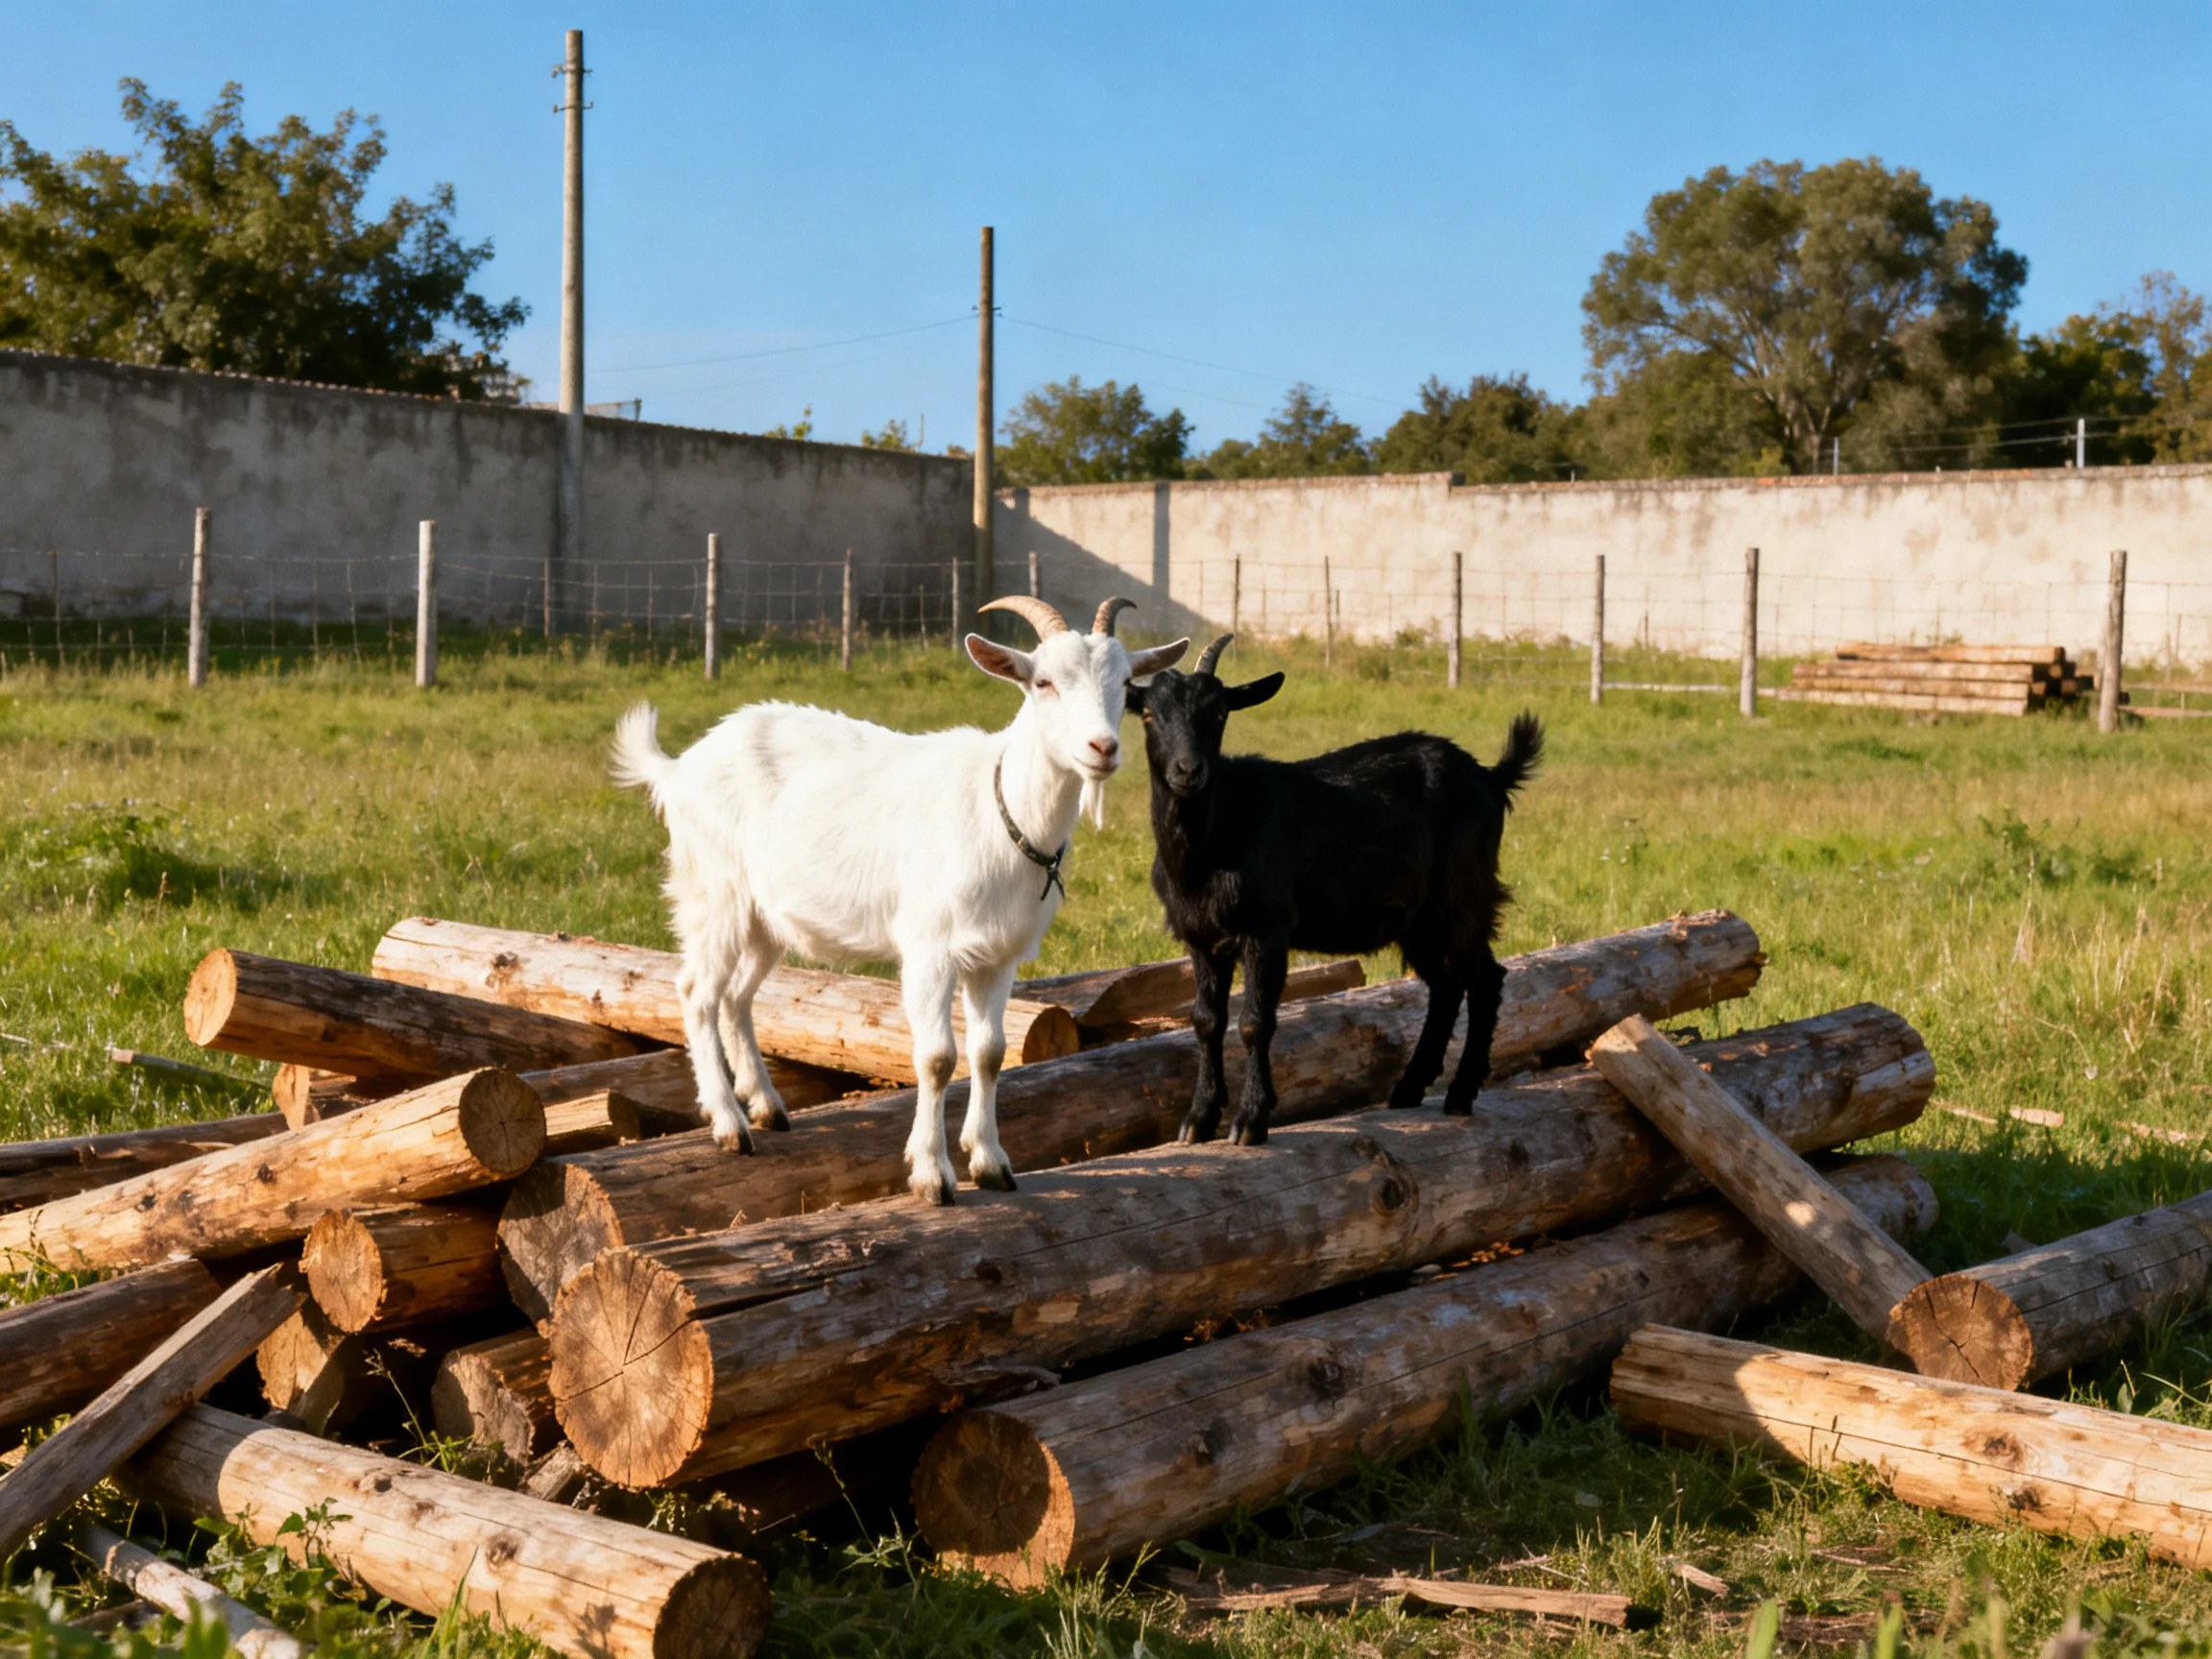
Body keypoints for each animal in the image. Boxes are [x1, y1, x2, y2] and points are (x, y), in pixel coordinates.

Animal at [610, 596, 1187, 1203]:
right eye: (1044, 682)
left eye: (1125, 684)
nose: (1103, 748)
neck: (1000, 809)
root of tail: (680, 766)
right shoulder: (929, 949)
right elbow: (937, 1058)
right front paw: (932, 1175)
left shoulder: (998, 955)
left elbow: (990, 1053)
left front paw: (991, 1162)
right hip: (714, 890)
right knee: (697, 992)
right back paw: (728, 1124)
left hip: (767, 916)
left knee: (737, 996)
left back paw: (766, 1106)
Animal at [1124, 635, 1542, 1146]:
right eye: (1149, 714)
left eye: (1220, 713)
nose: (1188, 771)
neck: (1217, 837)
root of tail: (1490, 776)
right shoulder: (1201, 938)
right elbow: (1206, 1022)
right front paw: (1198, 1119)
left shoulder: (1267, 929)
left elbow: (1255, 1021)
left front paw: (1250, 1121)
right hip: (1418, 919)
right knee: (1446, 986)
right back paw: (1408, 1088)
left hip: (1464, 894)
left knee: (1485, 979)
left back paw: (1460, 1095)